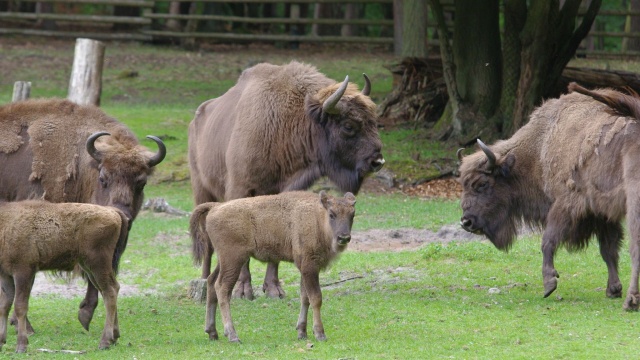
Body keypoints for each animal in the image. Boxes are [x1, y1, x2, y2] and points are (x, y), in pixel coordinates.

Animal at [0, 98, 168, 332]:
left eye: (141, 182)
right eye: (103, 178)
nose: (123, 215)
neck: (82, 165)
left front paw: (85, 314)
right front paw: (24, 326)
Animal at [0, 201, 129, 352]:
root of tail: (114, 212)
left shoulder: (24, 272)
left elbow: (20, 306)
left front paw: (21, 345)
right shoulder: (5, 275)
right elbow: (4, 306)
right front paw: (2, 341)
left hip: (97, 263)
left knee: (110, 291)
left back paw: (105, 341)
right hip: (89, 266)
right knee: (109, 290)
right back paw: (114, 336)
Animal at [189, 60, 384, 300]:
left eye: (374, 122)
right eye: (348, 126)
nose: (377, 161)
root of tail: (197, 119)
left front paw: (274, 288)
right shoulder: (239, 190)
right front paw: (243, 290)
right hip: (201, 188)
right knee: (206, 242)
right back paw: (203, 281)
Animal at [190, 190, 358, 342]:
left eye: (352, 215)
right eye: (332, 214)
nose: (344, 237)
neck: (316, 217)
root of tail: (216, 206)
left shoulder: (304, 270)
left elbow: (305, 297)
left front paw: (302, 332)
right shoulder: (310, 267)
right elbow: (316, 298)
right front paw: (320, 334)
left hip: (224, 261)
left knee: (211, 282)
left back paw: (212, 332)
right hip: (233, 260)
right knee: (222, 288)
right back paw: (232, 335)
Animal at [460, 83, 640, 310]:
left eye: (482, 184)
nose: (466, 222)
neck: (540, 147)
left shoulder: (566, 204)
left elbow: (548, 240)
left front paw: (549, 283)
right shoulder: (601, 214)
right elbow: (608, 249)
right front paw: (613, 289)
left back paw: (631, 301)